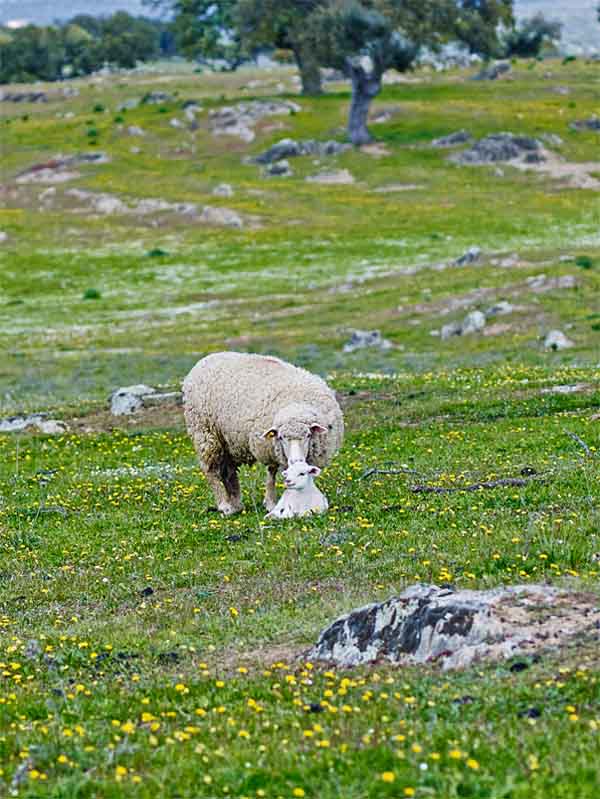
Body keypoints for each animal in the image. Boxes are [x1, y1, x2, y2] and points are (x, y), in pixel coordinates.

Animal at [182, 352, 342, 516]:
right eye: (281, 437)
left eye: (309, 435)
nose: (295, 460)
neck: (296, 404)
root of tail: (207, 358)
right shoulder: (268, 447)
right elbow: (272, 473)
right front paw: (271, 503)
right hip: (205, 433)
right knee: (211, 470)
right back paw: (224, 505)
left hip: (227, 441)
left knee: (229, 472)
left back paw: (236, 504)